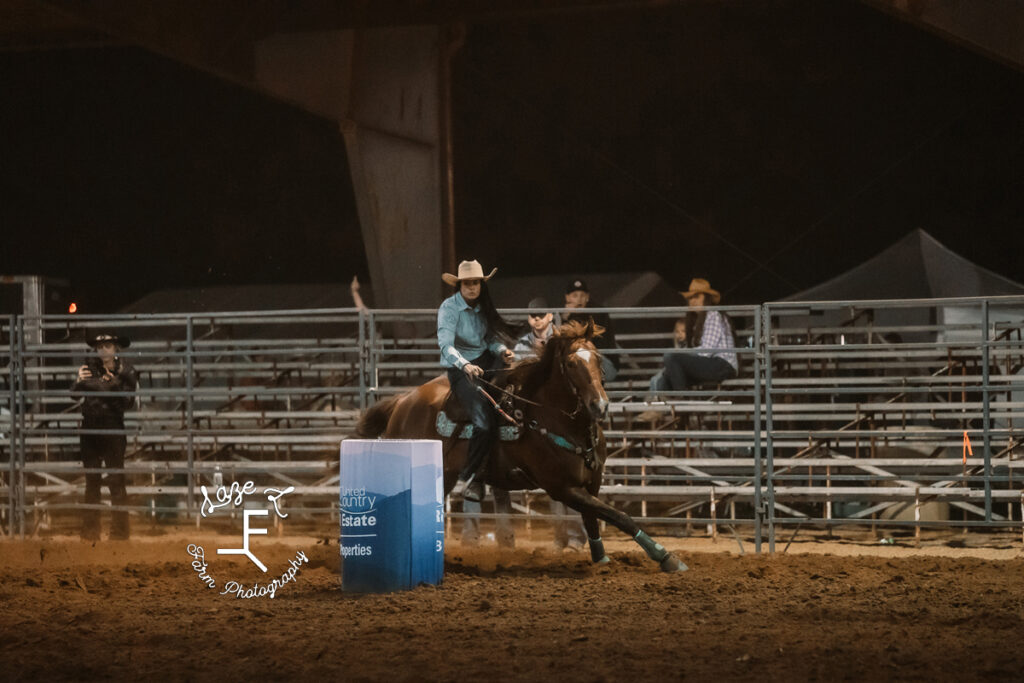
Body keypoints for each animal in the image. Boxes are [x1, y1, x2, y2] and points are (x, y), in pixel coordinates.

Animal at [354, 319, 688, 573]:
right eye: (571, 363)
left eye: (597, 358)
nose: (600, 406)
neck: (553, 418)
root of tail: (403, 400)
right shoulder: (562, 488)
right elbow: (619, 516)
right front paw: (666, 557)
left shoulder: (590, 482)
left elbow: (595, 520)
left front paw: (601, 559)